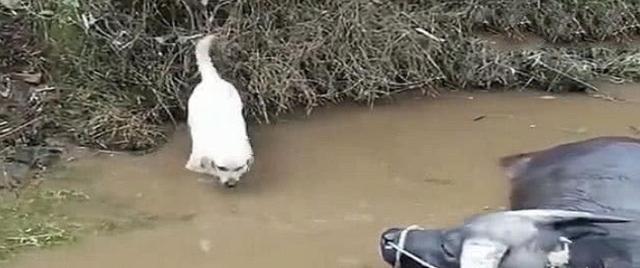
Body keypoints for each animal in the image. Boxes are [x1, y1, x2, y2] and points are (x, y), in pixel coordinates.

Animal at [184, 33, 254, 187]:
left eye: (238, 167)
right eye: (222, 168)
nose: (231, 184)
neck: (224, 136)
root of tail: (212, 79)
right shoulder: (194, 163)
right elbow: (206, 168)